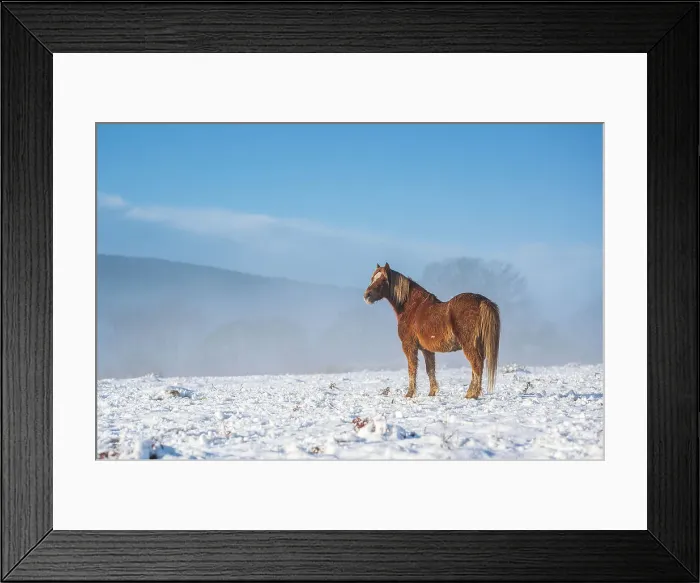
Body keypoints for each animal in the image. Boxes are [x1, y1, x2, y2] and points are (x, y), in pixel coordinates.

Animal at [363, 263, 501, 399]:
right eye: (372, 278)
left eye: (383, 280)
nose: (367, 295)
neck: (413, 308)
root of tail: (481, 300)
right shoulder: (427, 350)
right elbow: (430, 369)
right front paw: (432, 392)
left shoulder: (409, 346)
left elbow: (412, 368)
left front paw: (409, 394)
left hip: (469, 345)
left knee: (476, 364)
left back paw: (472, 394)